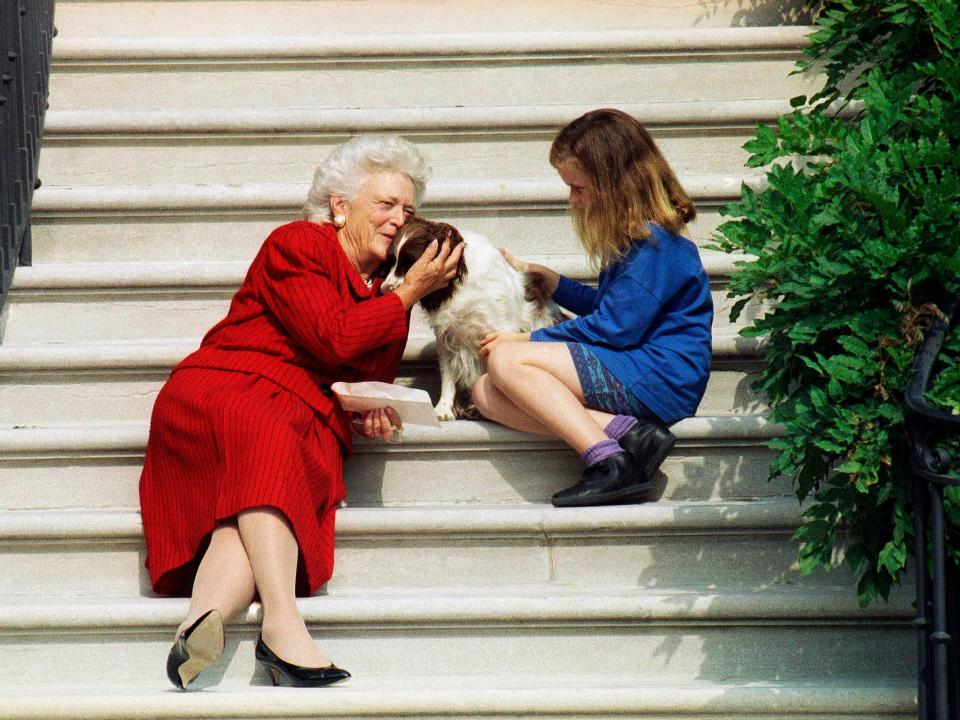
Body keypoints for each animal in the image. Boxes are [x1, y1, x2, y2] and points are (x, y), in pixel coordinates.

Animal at [380, 217, 564, 420]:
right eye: (390, 262)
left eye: (410, 264)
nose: (383, 289)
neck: (460, 283)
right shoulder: (446, 336)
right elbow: (448, 375)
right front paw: (443, 409)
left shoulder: (498, 331)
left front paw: (479, 407)